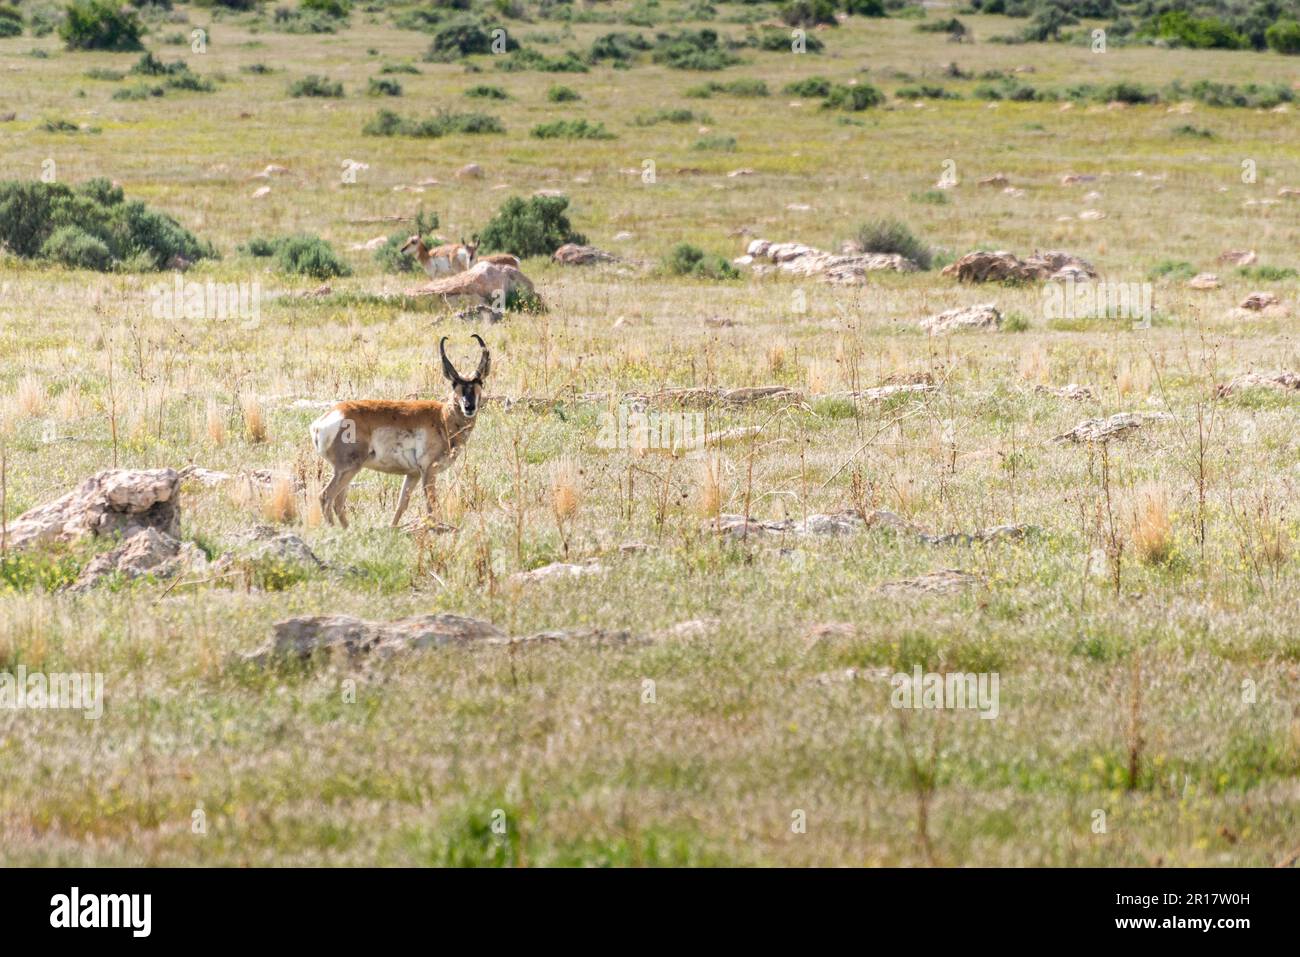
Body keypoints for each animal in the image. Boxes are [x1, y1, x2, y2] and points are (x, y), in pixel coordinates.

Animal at [309, 335, 490, 528]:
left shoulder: (412, 474)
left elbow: (401, 505)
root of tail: (323, 421)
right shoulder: (428, 471)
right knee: (326, 497)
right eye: (454, 383)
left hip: (348, 471)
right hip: (348, 469)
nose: (469, 407)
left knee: (338, 502)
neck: (442, 418)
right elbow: (432, 507)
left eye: (480, 382)